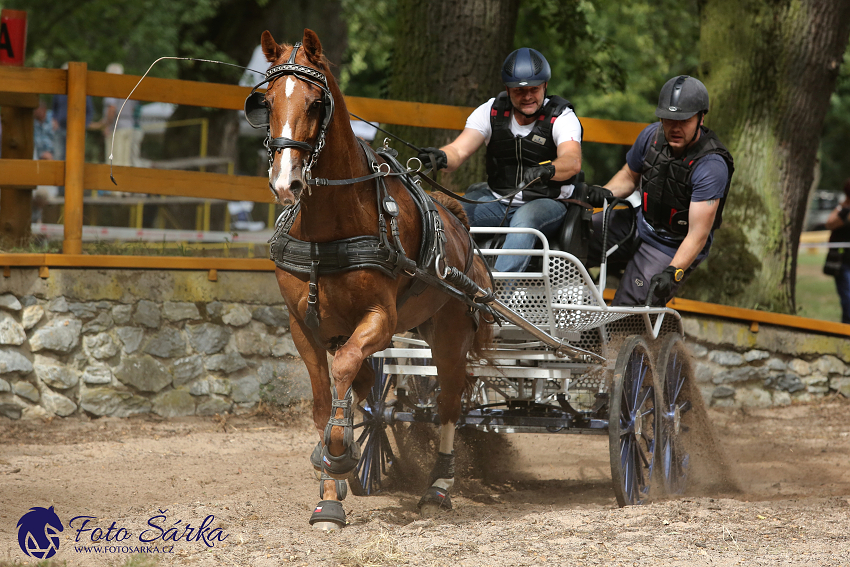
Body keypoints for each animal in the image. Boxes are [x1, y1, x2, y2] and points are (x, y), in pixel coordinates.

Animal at [252, 28, 490, 532]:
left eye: (315, 103)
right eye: (266, 100)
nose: (286, 183)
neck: (327, 229)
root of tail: (459, 223)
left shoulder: (381, 318)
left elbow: (343, 369)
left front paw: (338, 458)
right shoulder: (302, 326)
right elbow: (324, 398)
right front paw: (328, 493)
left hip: (450, 332)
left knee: (450, 401)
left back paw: (439, 485)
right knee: (372, 389)